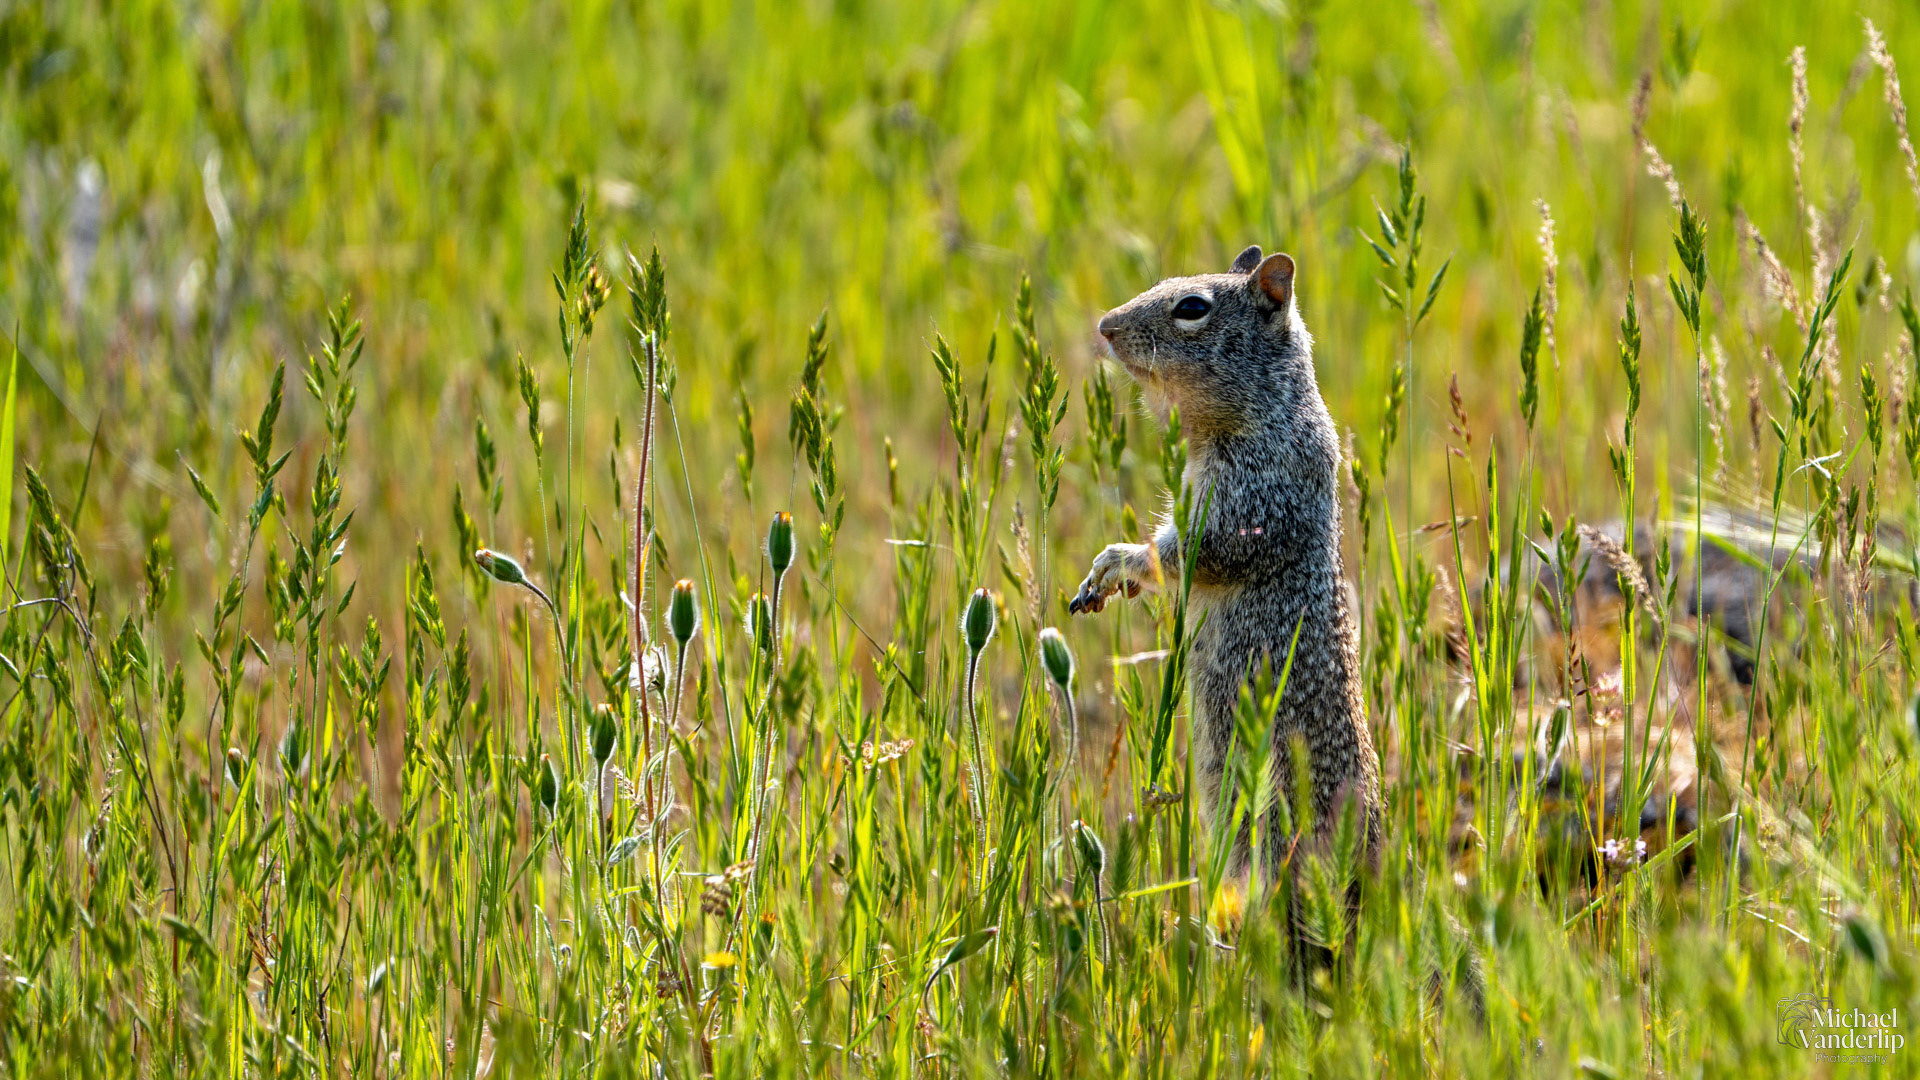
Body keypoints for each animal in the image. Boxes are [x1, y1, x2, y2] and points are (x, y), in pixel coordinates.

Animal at [1069, 244, 1383, 873]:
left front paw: (1119, 561)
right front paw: (1106, 580)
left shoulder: (1254, 497)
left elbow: (1196, 551)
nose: (1105, 327)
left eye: (1192, 308)